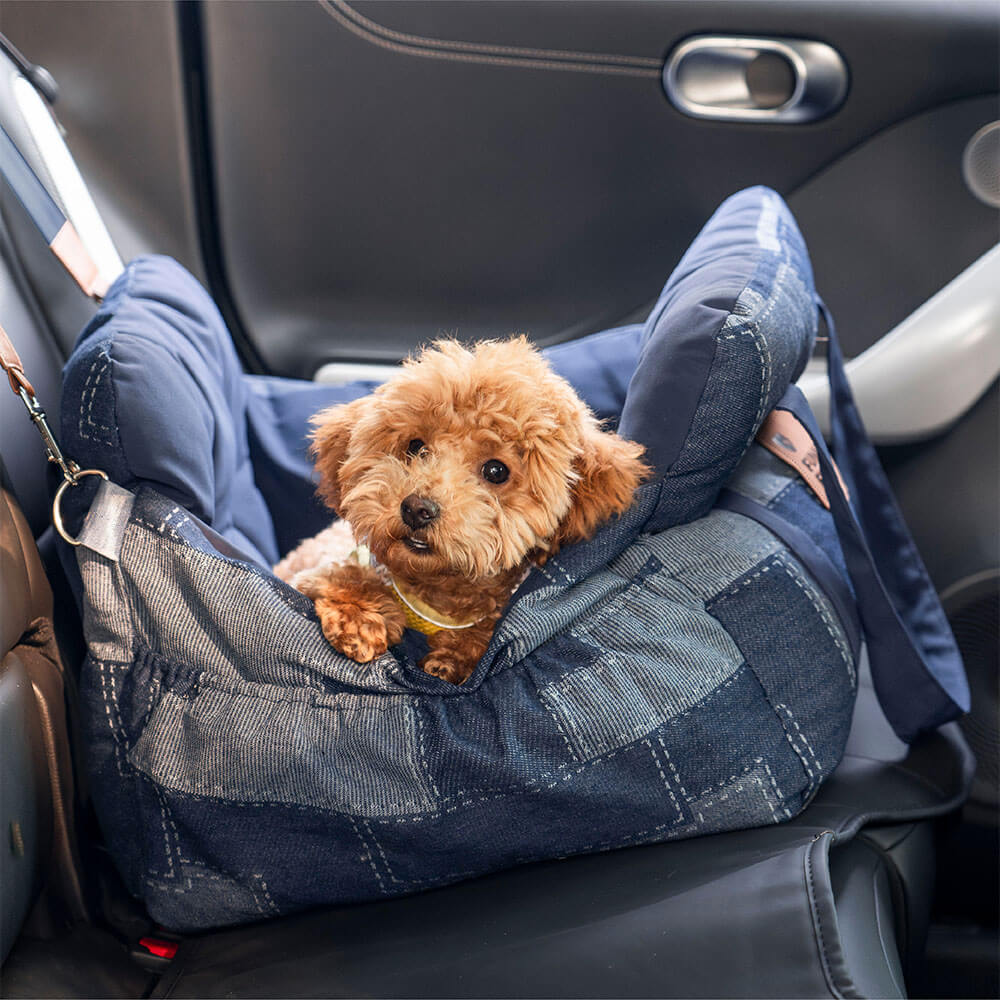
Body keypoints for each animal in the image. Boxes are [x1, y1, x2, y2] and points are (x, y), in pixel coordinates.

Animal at [278, 340, 648, 684]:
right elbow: (341, 576)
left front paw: (454, 656)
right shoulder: (332, 563)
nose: (417, 509)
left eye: (496, 471)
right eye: (416, 446)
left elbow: (481, 633)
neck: (435, 595)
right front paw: (361, 617)